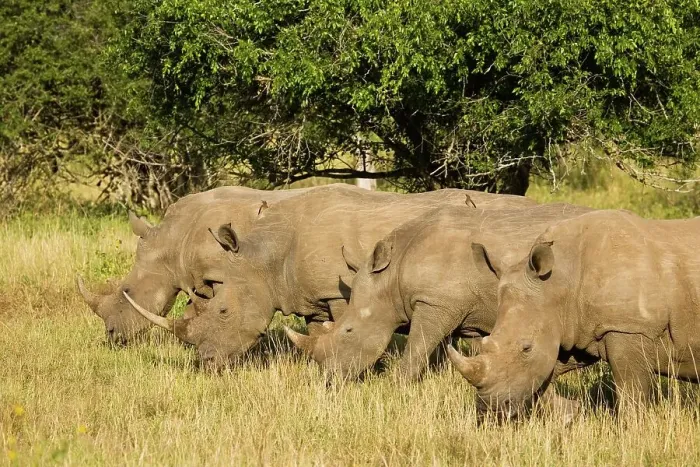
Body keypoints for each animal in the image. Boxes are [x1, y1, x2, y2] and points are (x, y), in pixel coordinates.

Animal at [125, 184, 536, 368]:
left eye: (224, 312)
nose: (206, 364)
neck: (267, 256)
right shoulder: (313, 297)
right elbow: (317, 332)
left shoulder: (338, 292)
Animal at [285, 203, 592, 383]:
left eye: (348, 331)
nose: (328, 379)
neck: (391, 276)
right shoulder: (472, 311)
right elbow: (478, 351)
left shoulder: (435, 303)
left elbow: (418, 346)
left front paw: (397, 386)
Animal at [448, 209, 700, 419]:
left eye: (526, 348)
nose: (489, 409)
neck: (560, 282)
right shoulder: (573, 327)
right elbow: (543, 377)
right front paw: (570, 414)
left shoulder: (629, 328)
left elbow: (631, 391)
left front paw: (633, 429)